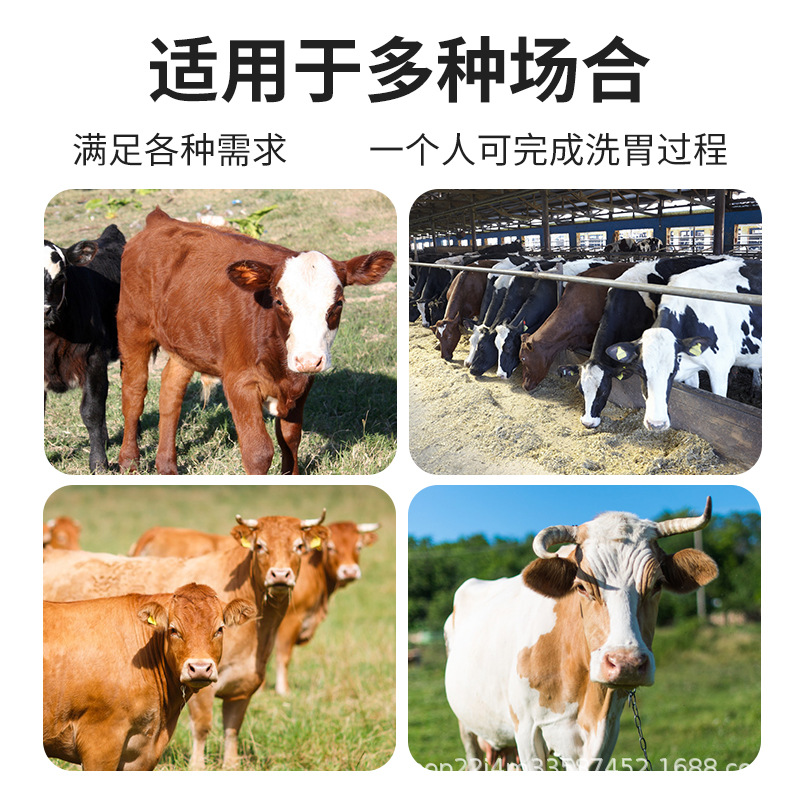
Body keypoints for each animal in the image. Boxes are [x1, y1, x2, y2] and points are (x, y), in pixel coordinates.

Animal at [116, 207, 394, 475]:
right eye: (279, 302)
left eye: (338, 303)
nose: (308, 360)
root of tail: (161, 220)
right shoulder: (240, 383)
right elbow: (258, 451)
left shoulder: (303, 383)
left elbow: (290, 439)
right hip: (132, 328)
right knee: (134, 392)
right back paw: (129, 461)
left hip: (185, 343)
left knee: (170, 393)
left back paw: (167, 466)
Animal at [127, 520, 380, 697]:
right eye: (331, 547)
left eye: (358, 546)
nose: (350, 571)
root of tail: (154, 531)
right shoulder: (291, 619)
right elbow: (283, 655)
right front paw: (281, 690)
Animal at [444, 497, 717, 771]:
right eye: (582, 587)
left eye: (657, 584)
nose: (626, 663)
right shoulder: (527, 731)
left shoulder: (606, 734)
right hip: (467, 726)